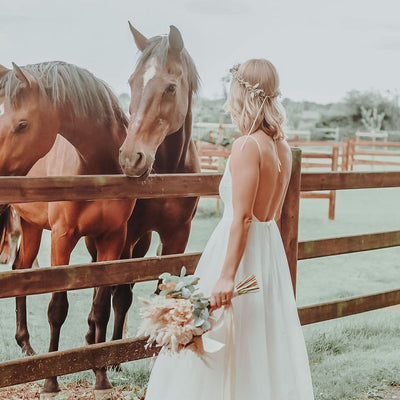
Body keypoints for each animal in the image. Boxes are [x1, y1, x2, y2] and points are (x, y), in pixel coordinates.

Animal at [0, 61, 135, 394]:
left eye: (22, 124)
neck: (97, 168)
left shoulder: (112, 239)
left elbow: (100, 307)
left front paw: (100, 375)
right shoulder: (63, 238)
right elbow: (57, 307)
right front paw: (50, 380)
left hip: (31, 226)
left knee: (20, 270)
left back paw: (26, 346)